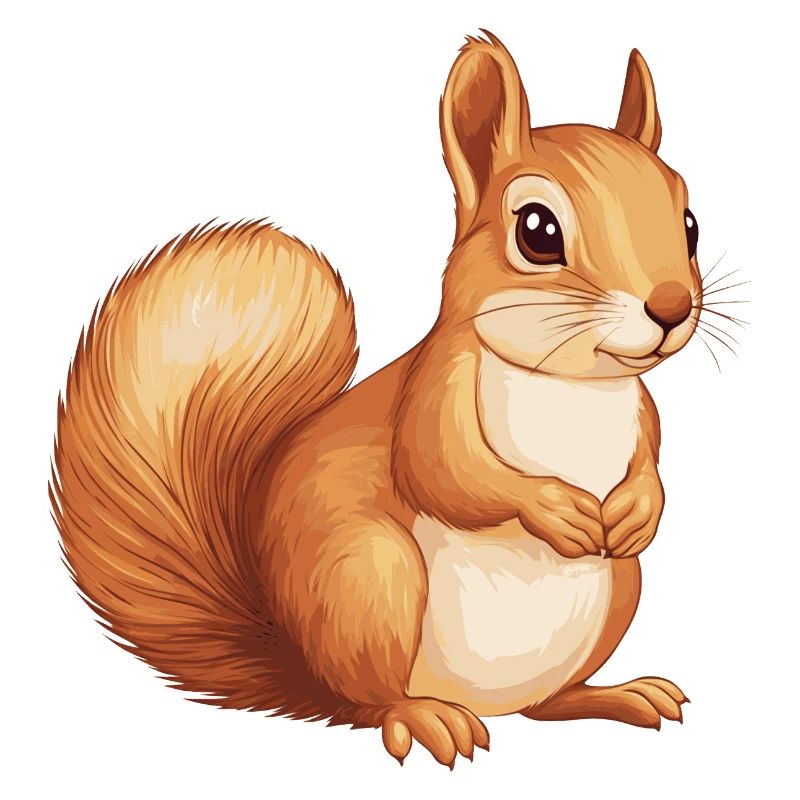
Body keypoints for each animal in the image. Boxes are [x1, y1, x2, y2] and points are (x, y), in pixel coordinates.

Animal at [51, 32, 701, 767]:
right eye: (537, 231)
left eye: (689, 222)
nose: (671, 307)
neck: (573, 386)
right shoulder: (433, 391)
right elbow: (446, 472)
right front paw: (552, 507)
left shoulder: (644, 413)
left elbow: (649, 465)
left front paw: (639, 508)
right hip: (370, 581)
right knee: (370, 703)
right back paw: (425, 718)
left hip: (621, 589)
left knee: (547, 702)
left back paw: (616, 694)